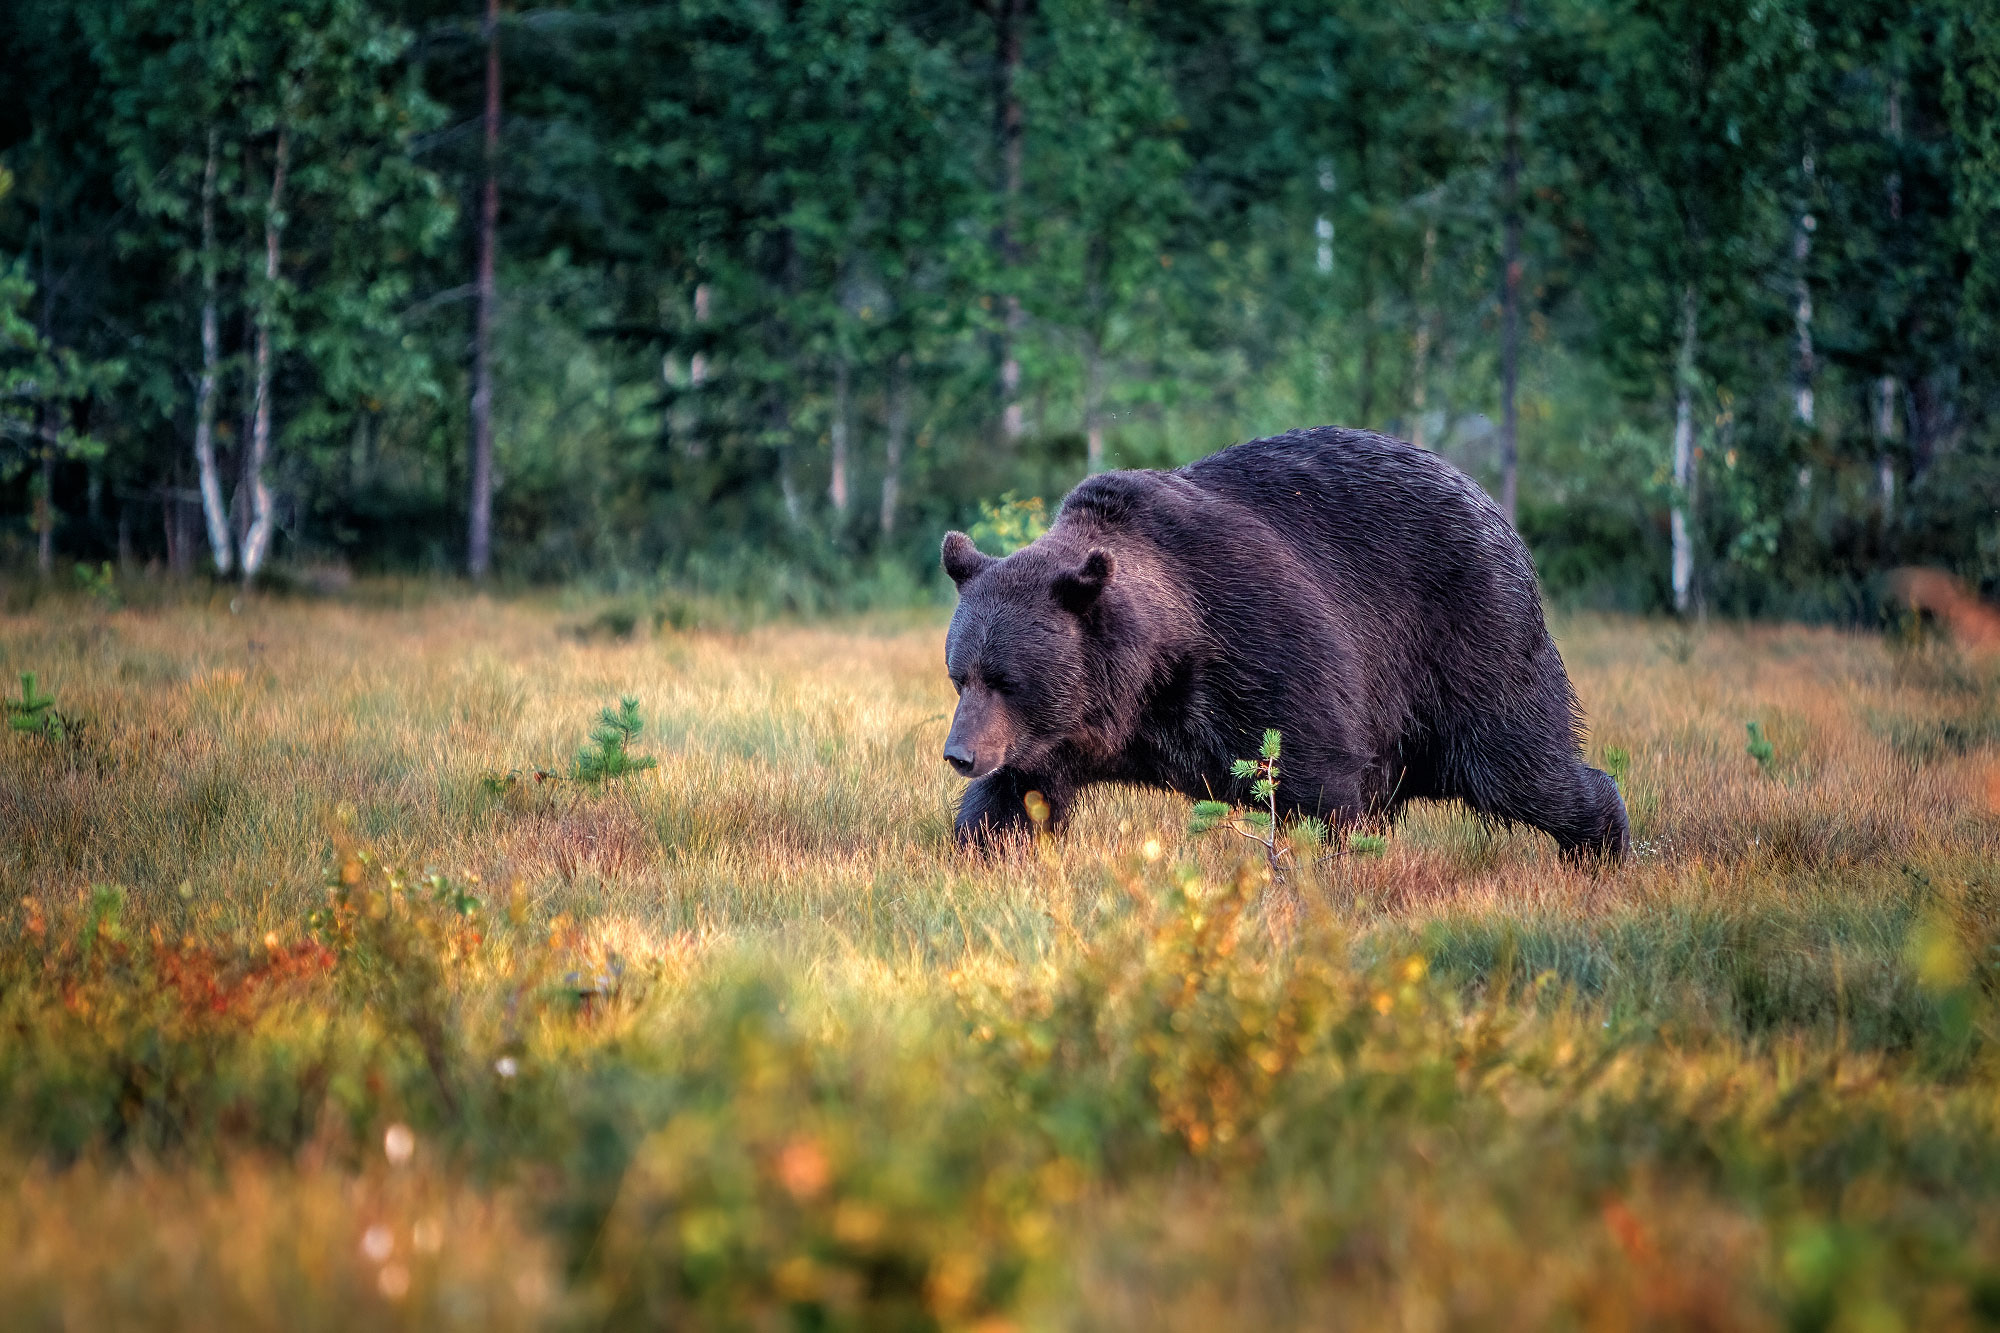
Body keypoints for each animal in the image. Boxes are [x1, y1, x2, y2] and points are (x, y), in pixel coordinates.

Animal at [936, 430, 1624, 856]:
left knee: (1517, 759)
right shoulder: (1059, 735)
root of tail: (1490, 505)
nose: (960, 754)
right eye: (961, 675)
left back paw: (1601, 841)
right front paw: (982, 848)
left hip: (1468, 632)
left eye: (1006, 678)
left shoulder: (1257, 644)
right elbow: (1011, 801)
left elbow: (1313, 781)